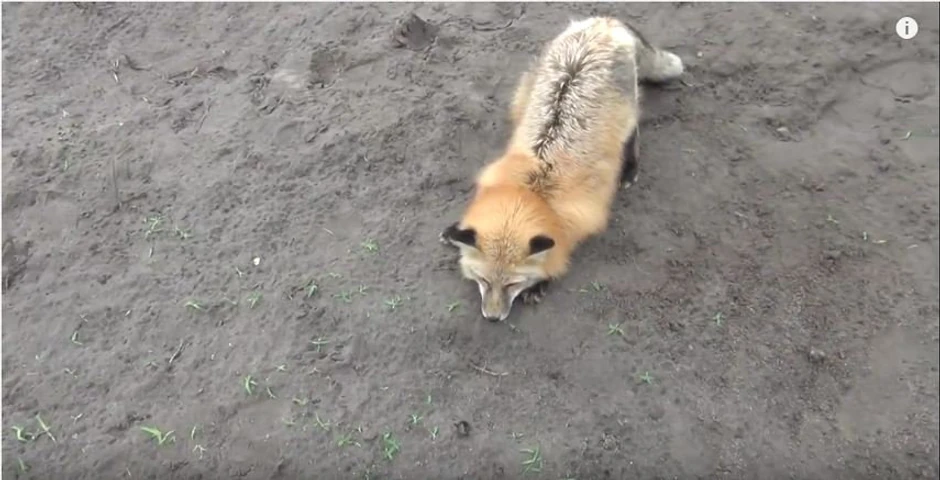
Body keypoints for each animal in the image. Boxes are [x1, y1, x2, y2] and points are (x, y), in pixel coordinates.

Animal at [440, 16, 684, 321]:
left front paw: (542, 282)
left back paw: (629, 170)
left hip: (627, 117)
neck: (533, 189)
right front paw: (453, 230)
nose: (493, 318)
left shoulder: (581, 217)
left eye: (512, 284)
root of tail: (603, 22)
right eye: (483, 280)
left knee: (634, 134)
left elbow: (560, 251)